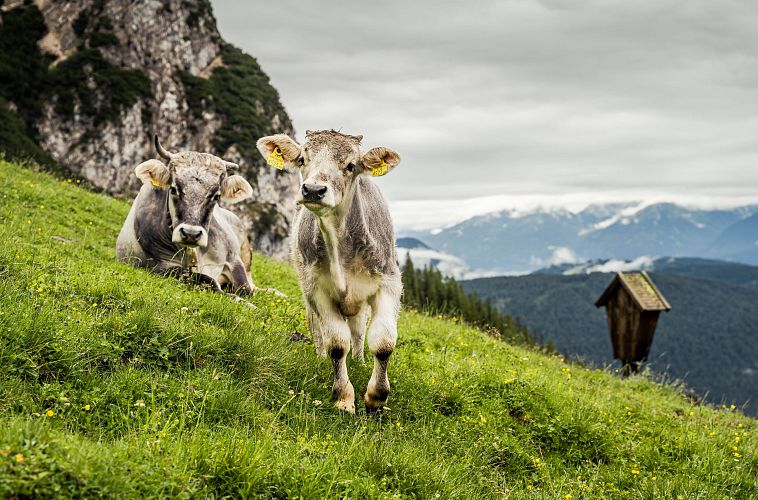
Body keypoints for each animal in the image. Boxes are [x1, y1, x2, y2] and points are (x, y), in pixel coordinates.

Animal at [117, 135, 262, 298]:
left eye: (216, 196)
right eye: (173, 189)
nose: (191, 234)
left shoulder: (234, 259)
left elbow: (246, 289)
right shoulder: (161, 266)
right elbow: (209, 281)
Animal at [256, 129, 404, 414]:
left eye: (351, 166)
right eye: (302, 159)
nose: (313, 190)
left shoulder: (389, 282)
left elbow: (382, 342)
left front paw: (376, 397)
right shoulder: (316, 290)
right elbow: (336, 343)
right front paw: (343, 397)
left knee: (358, 330)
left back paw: (359, 359)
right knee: (319, 329)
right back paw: (321, 355)